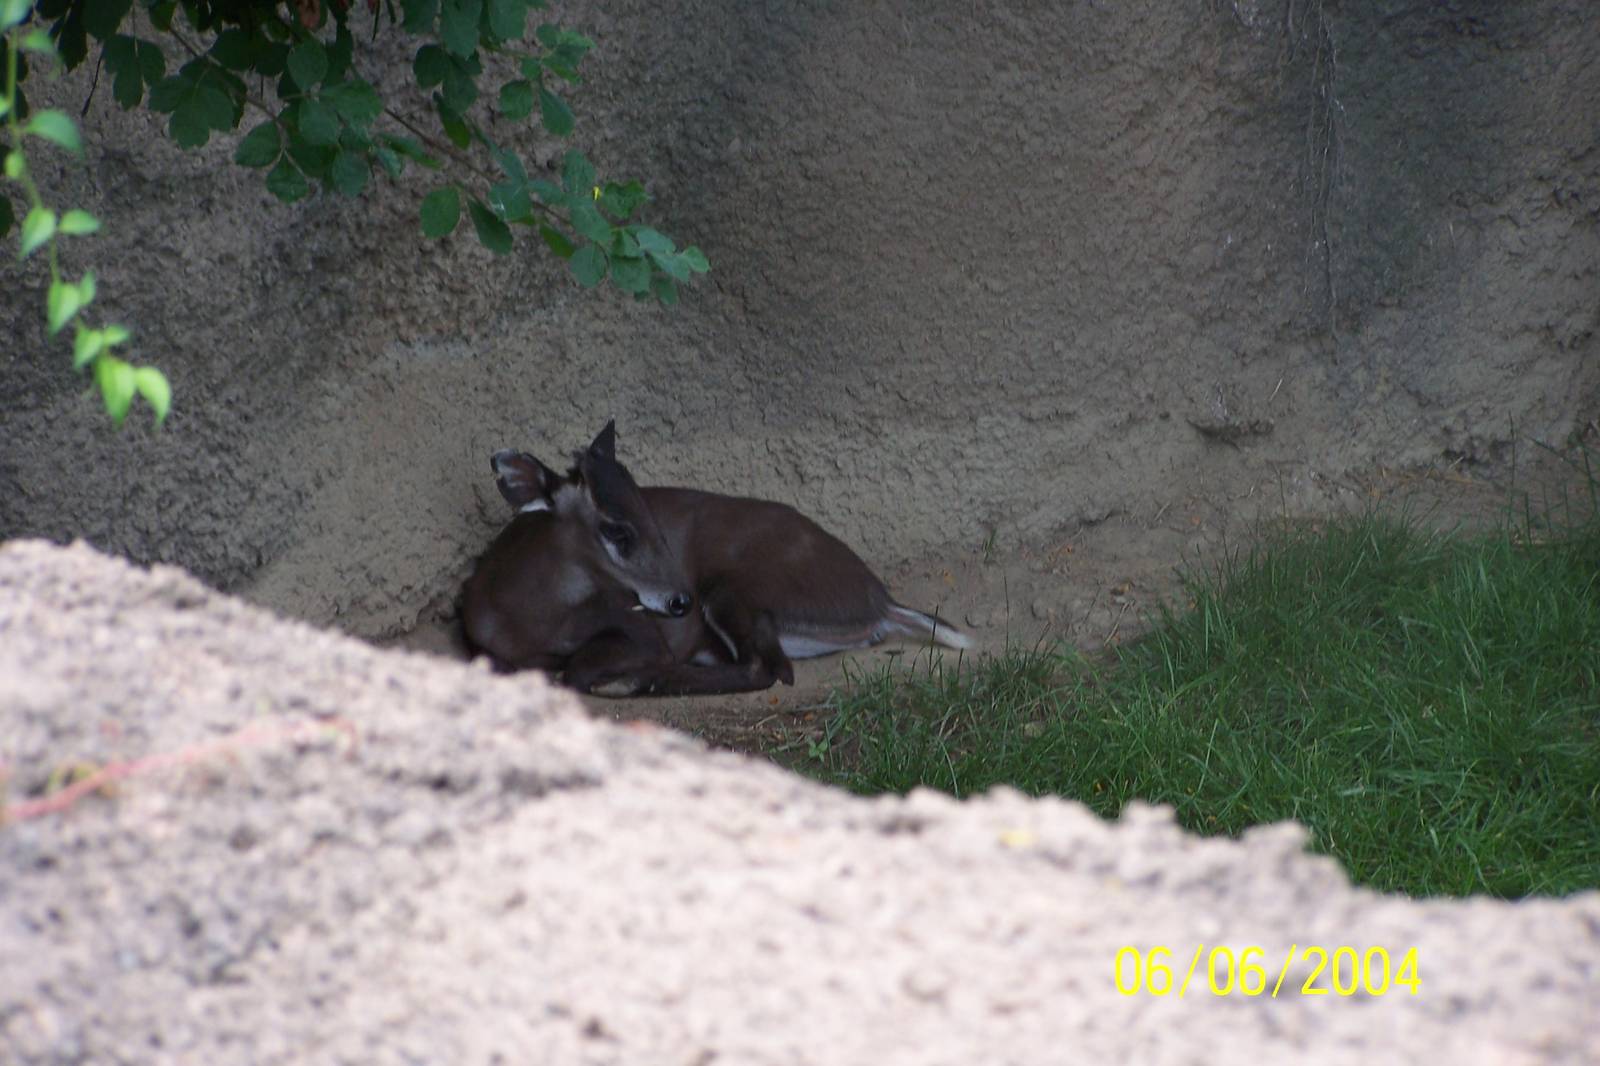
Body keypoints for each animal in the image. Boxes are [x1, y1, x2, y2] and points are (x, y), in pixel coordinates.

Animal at [460, 421, 970, 696]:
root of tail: (881, 601)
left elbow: (577, 668)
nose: (679, 602)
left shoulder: (641, 630)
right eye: (616, 529)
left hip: (736, 588)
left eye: (649, 510)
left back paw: (636, 682)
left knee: (768, 668)